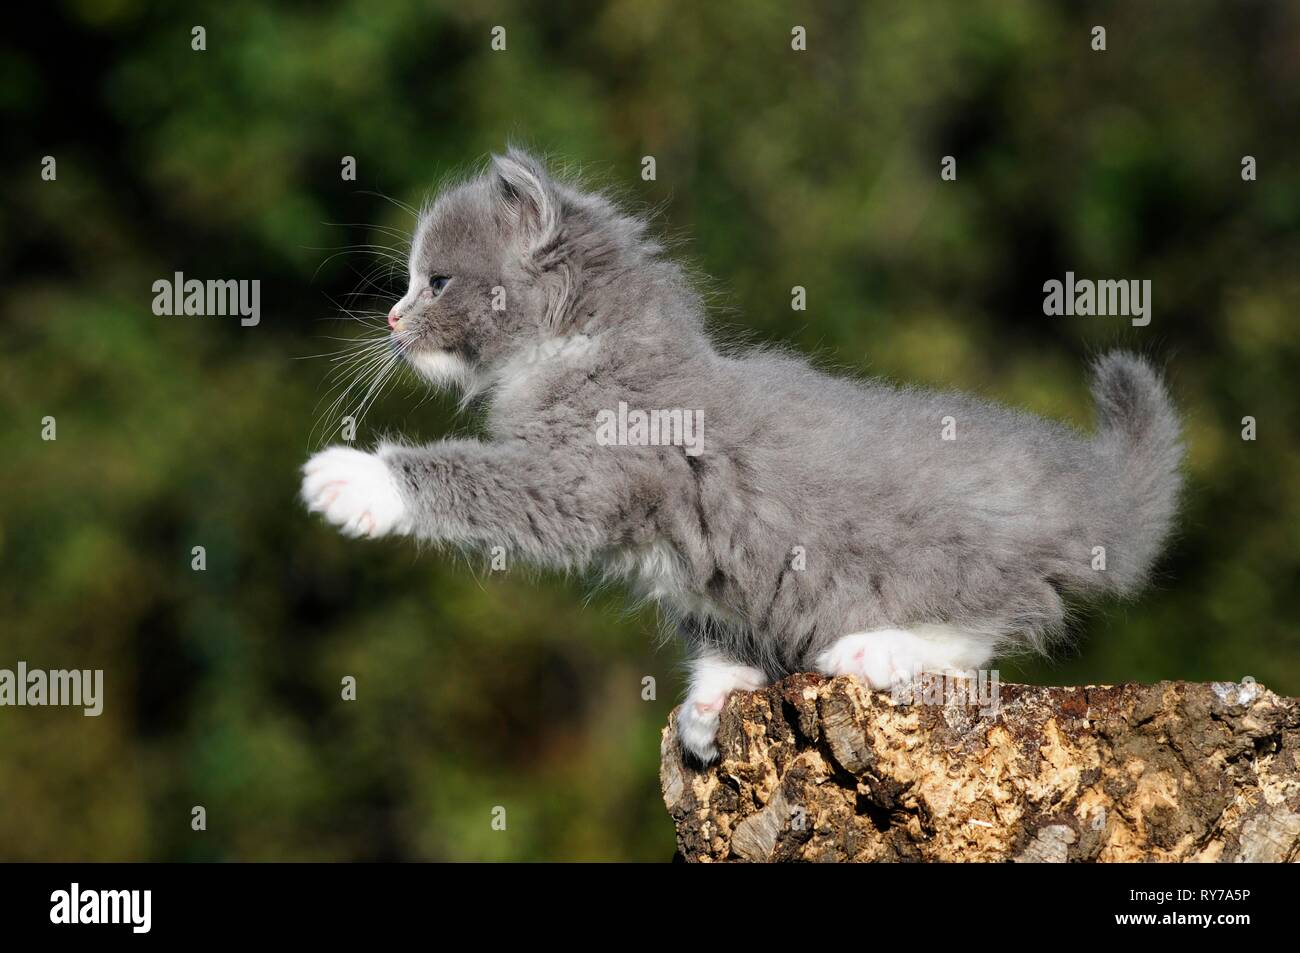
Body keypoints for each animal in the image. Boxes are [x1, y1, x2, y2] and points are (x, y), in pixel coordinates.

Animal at [301, 146, 1180, 759]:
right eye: (412, 282)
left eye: (435, 281)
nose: (391, 318)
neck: (588, 353)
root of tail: (1088, 485)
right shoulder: (705, 570)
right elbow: (720, 634)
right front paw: (713, 702)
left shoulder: (591, 473)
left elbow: (475, 476)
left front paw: (357, 480)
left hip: (946, 555)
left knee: (996, 620)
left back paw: (876, 647)